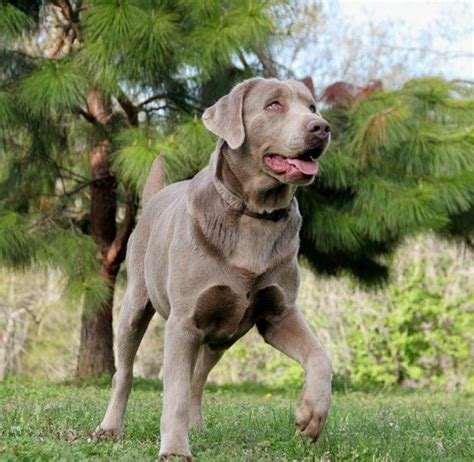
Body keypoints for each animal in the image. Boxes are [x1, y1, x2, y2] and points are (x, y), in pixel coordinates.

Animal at [95, 77, 334, 460]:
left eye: (312, 107)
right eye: (274, 105)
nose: (322, 128)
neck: (253, 214)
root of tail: (155, 198)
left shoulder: (279, 314)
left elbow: (320, 357)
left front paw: (310, 415)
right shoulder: (183, 323)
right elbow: (173, 392)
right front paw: (175, 449)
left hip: (225, 334)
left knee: (198, 378)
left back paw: (197, 425)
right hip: (136, 306)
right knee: (126, 373)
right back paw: (109, 427)